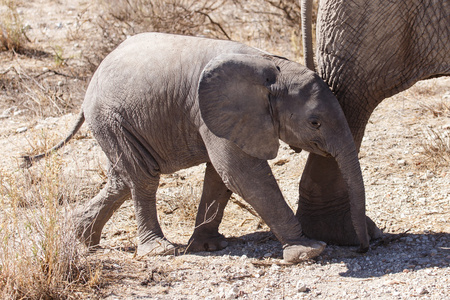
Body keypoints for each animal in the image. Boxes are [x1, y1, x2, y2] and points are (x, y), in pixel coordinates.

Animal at [25, 32, 370, 262]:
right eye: (315, 122)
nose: (362, 247)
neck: (271, 65)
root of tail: (93, 77)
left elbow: (221, 176)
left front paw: (209, 247)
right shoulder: (210, 111)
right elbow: (241, 173)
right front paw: (309, 250)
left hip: (116, 121)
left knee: (122, 179)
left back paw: (84, 239)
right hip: (109, 117)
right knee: (143, 177)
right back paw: (158, 251)